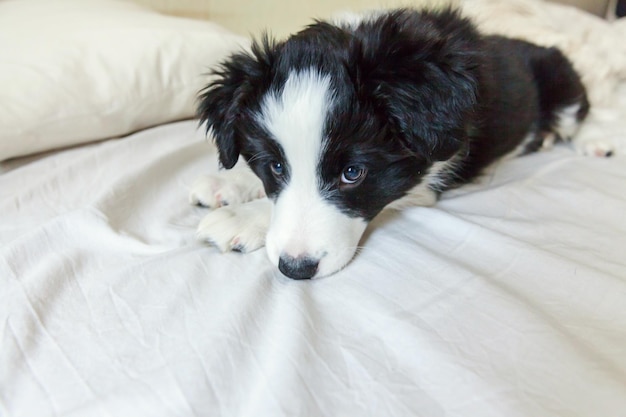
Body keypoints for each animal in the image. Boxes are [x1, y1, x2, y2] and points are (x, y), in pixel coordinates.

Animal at [188, 7, 588, 280]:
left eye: (353, 173)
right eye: (275, 166)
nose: (295, 269)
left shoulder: (430, 173)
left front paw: (241, 218)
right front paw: (228, 182)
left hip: (565, 87)